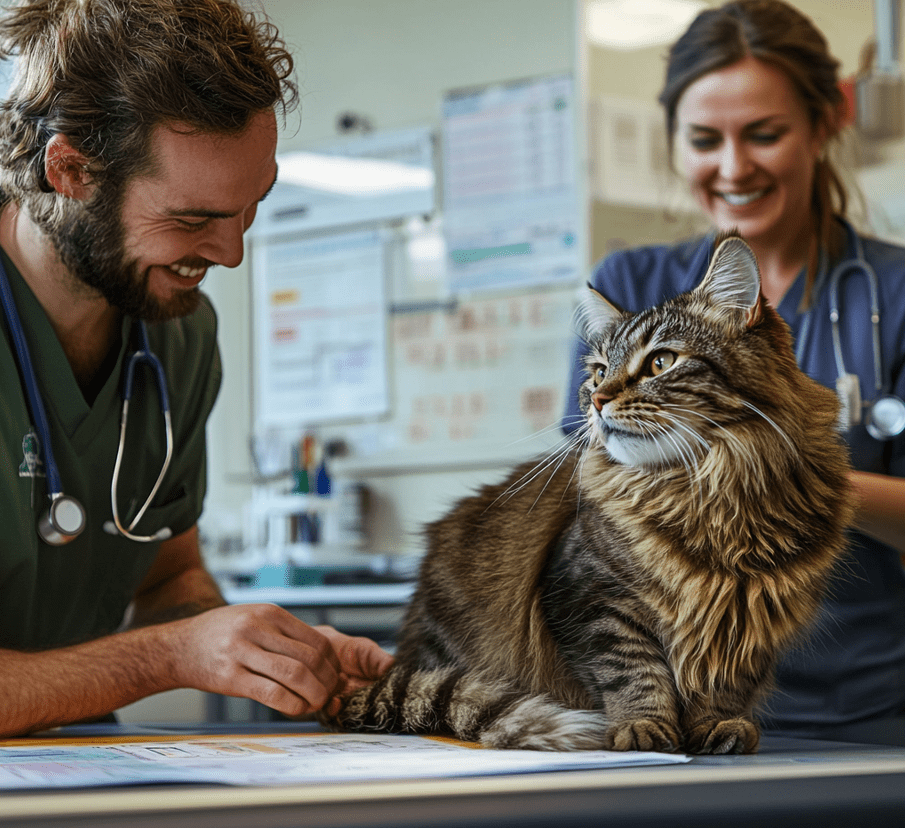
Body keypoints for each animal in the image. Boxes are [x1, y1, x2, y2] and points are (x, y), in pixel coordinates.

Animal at [324, 233, 856, 756]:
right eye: (599, 372)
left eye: (661, 361)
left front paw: (717, 724)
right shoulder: (592, 601)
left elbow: (723, 685)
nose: (599, 401)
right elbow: (634, 671)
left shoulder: (746, 618)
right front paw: (643, 728)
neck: (706, 489)